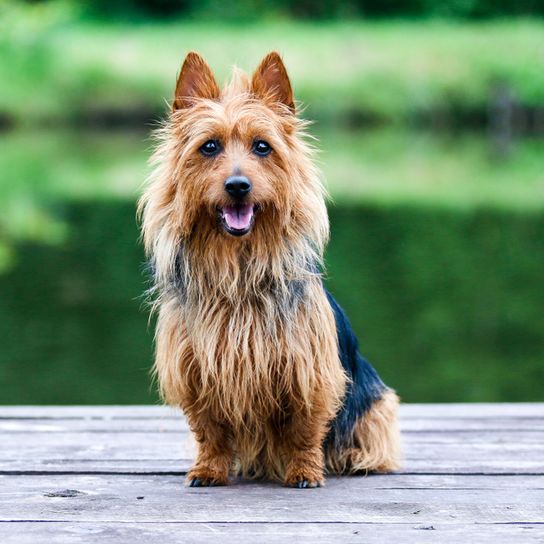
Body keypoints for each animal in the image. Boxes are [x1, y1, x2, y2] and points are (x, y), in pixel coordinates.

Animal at [138, 51, 402, 488]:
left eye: (263, 147)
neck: (238, 268)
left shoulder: (308, 369)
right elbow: (209, 429)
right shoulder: (195, 368)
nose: (238, 185)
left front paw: (305, 471)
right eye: (209, 147)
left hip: (377, 405)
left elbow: (305, 427)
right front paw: (208, 469)